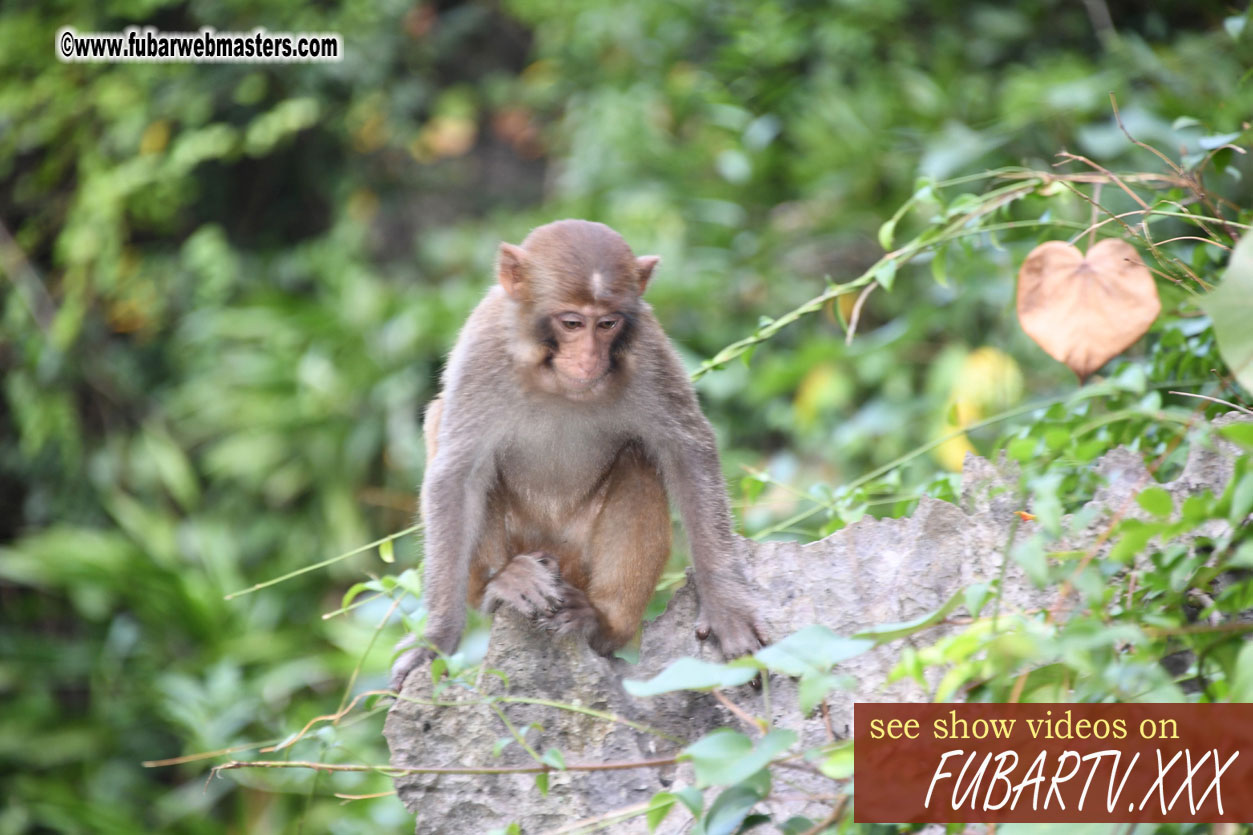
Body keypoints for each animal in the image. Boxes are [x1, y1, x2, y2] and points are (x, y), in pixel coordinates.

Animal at [388, 215, 761, 687]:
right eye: (571, 323)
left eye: (607, 324)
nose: (588, 359)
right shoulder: (482, 349)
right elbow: (456, 476)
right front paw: (436, 637)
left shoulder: (649, 351)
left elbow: (687, 452)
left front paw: (727, 605)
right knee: (445, 427)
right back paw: (503, 581)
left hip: (579, 561)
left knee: (640, 458)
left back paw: (601, 623)